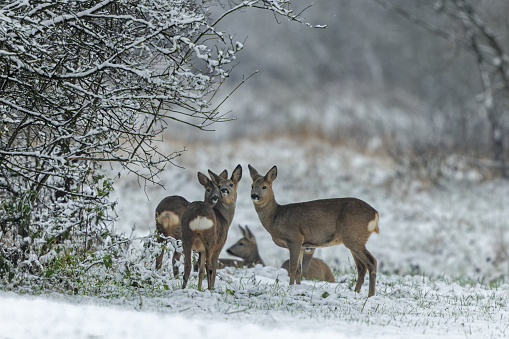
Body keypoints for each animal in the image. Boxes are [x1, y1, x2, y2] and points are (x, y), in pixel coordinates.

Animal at [248, 165, 380, 298]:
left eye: (264, 186)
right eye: (252, 185)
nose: (254, 195)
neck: (276, 217)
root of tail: (375, 213)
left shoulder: (294, 238)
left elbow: (292, 267)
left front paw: (290, 287)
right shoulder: (302, 245)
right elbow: (299, 269)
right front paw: (298, 287)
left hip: (353, 237)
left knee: (371, 262)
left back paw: (371, 295)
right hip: (354, 240)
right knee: (361, 267)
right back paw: (356, 292)